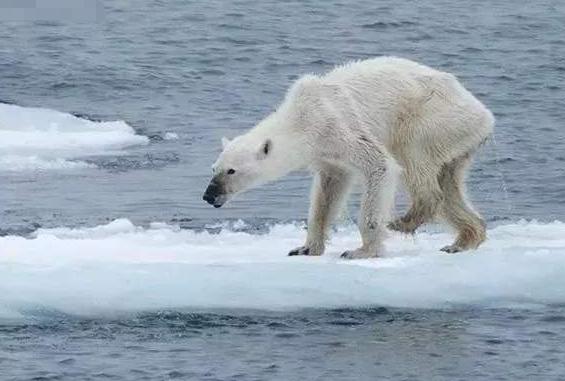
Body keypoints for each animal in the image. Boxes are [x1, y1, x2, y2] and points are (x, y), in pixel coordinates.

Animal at [203, 57, 494, 258]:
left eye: (231, 171)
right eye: (214, 168)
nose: (208, 195)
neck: (302, 118)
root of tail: (485, 115)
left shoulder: (338, 126)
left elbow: (380, 165)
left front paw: (361, 251)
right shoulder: (326, 154)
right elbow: (328, 192)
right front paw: (305, 248)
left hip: (432, 118)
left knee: (414, 158)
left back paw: (403, 221)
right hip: (457, 140)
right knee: (449, 183)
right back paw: (463, 240)